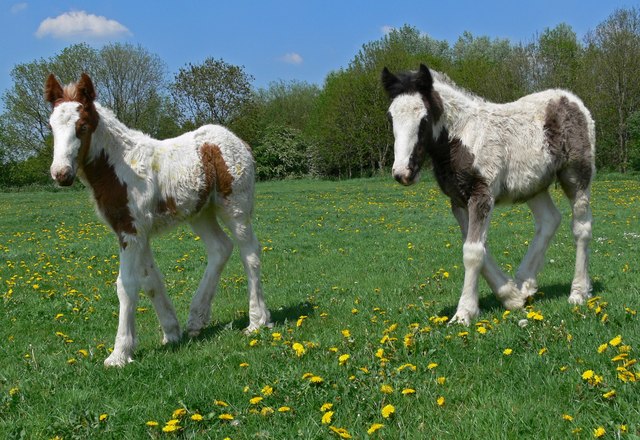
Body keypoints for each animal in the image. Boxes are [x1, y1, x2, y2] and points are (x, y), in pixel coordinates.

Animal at [380, 64, 596, 324]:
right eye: (390, 117)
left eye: (424, 118)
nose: (403, 173)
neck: (461, 138)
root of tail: (572, 100)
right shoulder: (458, 201)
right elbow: (477, 247)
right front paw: (511, 297)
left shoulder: (482, 195)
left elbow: (472, 252)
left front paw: (463, 313)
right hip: (533, 185)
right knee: (549, 220)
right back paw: (524, 283)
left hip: (576, 176)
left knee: (581, 227)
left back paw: (578, 292)